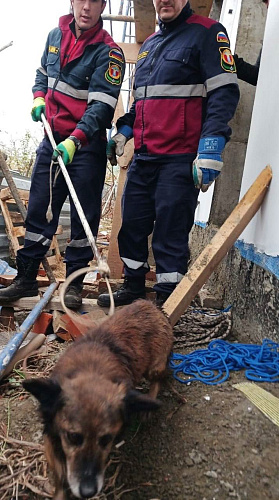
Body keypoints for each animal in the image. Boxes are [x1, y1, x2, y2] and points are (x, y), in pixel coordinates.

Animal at [23, 300, 173, 500]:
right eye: (73, 437)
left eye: (107, 439)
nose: (88, 492)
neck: (91, 370)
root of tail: (151, 305)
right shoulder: (52, 436)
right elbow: (61, 476)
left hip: (153, 368)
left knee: (159, 379)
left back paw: (148, 403)